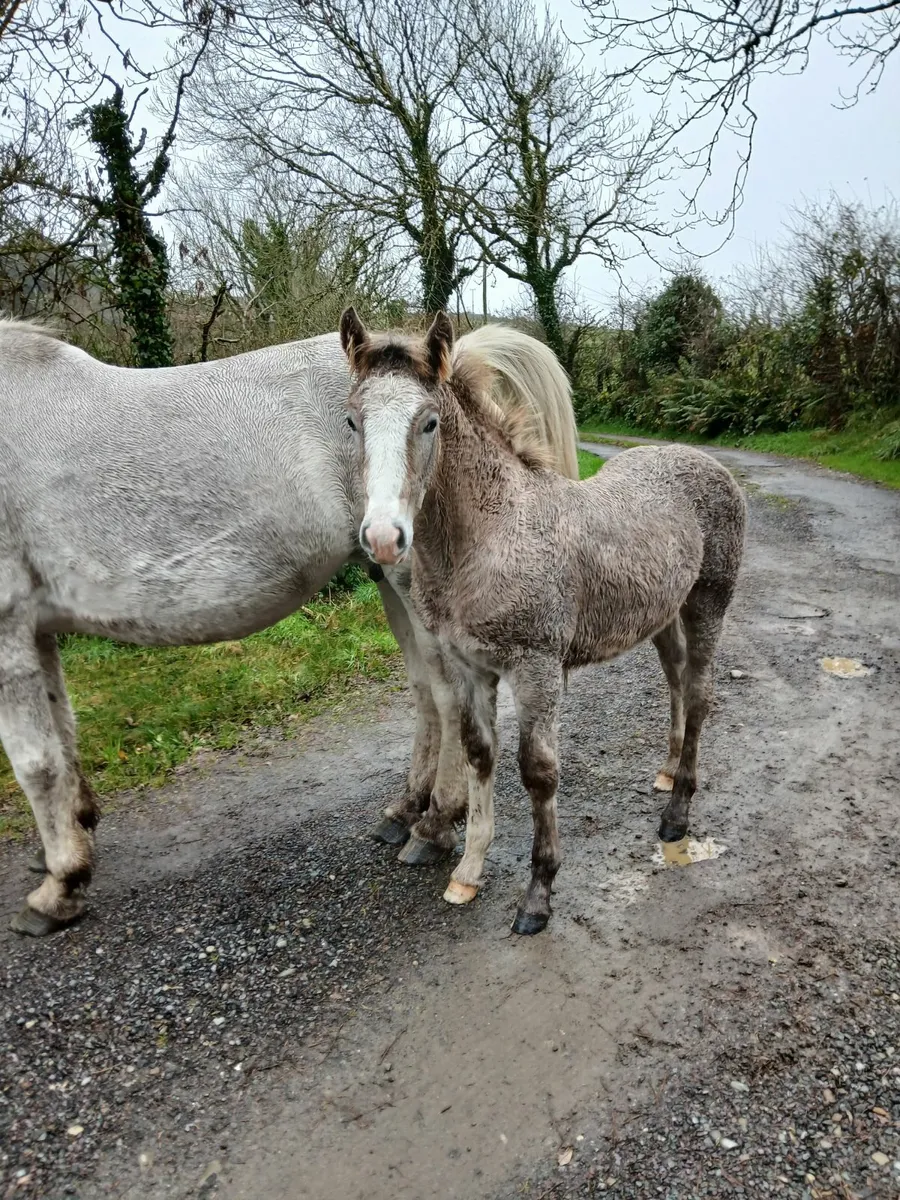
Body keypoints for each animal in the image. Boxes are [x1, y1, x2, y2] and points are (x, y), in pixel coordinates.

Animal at [0, 317, 578, 936]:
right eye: (352, 422)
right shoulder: (37, 629)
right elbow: (63, 731)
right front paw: (74, 829)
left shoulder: (9, 629)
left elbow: (35, 760)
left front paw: (60, 884)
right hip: (385, 573)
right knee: (426, 693)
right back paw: (406, 810)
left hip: (407, 582)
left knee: (447, 701)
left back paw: (434, 824)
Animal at [339, 307, 746, 935]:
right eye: (352, 420)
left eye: (429, 423)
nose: (384, 538)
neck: (491, 534)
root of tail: (705, 461)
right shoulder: (470, 668)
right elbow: (480, 754)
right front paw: (467, 871)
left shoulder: (536, 669)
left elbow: (538, 771)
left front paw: (538, 893)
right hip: (662, 614)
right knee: (677, 681)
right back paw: (666, 772)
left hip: (708, 602)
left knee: (700, 694)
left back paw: (677, 813)